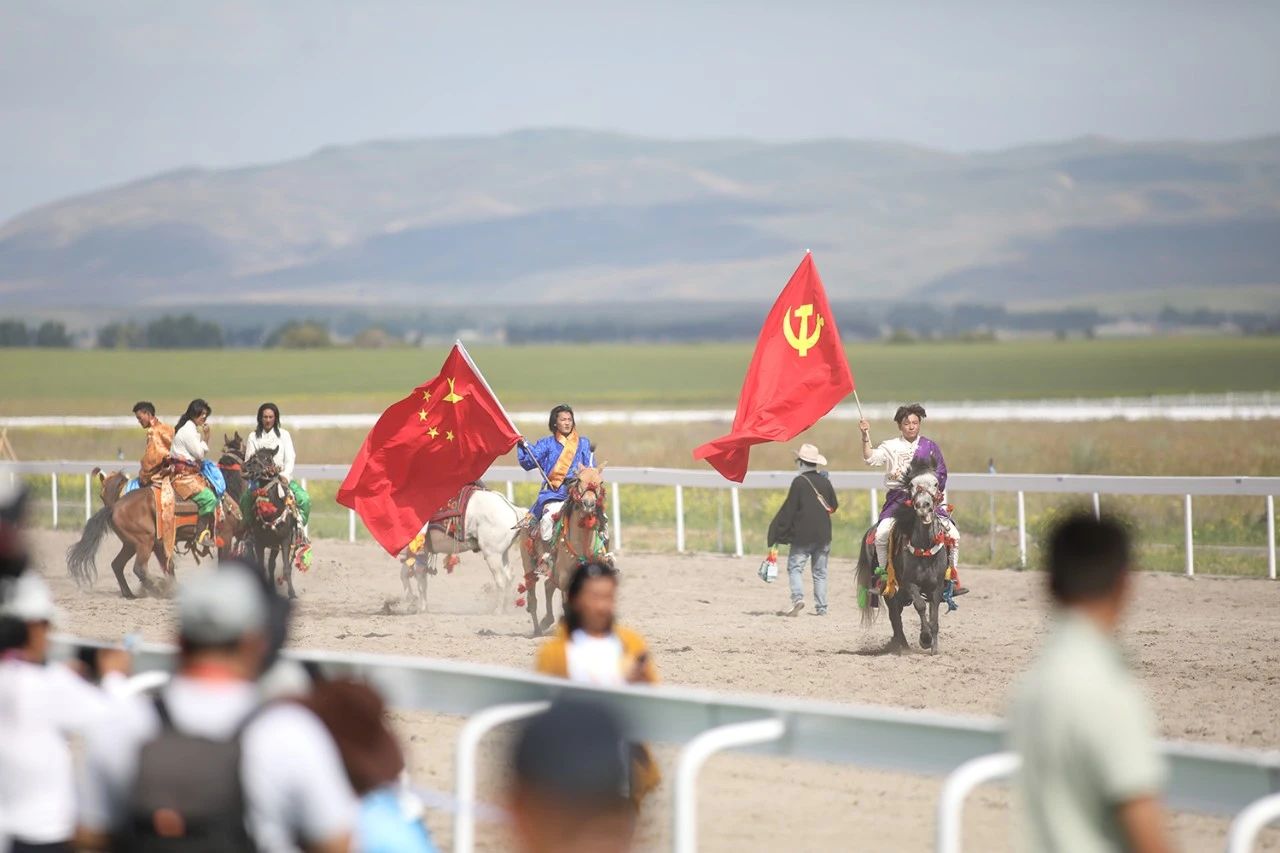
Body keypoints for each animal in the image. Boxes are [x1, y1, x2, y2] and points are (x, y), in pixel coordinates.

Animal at [68, 435, 249, 594]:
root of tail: (114, 507)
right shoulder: (225, 536)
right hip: (144, 541)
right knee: (139, 568)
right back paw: (159, 588)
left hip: (131, 544)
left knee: (117, 565)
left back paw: (131, 593)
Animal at [240, 445, 300, 596]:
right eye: (252, 456)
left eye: (268, 458)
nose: (245, 466)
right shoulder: (258, 542)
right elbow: (261, 567)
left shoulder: (285, 540)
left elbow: (285, 567)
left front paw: (291, 592)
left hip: (275, 545)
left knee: (272, 564)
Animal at [394, 484, 524, 612]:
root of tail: (512, 508)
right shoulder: (415, 552)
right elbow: (406, 575)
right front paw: (414, 602)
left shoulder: (419, 552)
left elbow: (418, 578)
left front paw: (420, 606)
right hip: (502, 553)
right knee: (509, 577)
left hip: (492, 554)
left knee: (501, 580)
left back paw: (498, 611)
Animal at [519, 461, 609, 635]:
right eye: (579, 479)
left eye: (600, 482)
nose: (589, 504)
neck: (582, 545)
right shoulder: (566, 578)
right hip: (529, 563)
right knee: (533, 597)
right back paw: (537, 630)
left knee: (548, 586)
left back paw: (547, 621)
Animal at [855, 455, 957, 653]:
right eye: (911, 484)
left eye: (935, 483)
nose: (923, 506)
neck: (924, 548)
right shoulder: (910, 583)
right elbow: (920, 606)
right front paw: (925, 639)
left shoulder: (936, 586)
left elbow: (934, 615)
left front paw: (934, 647)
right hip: (891, 590)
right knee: (895, 616)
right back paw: (900, 644)